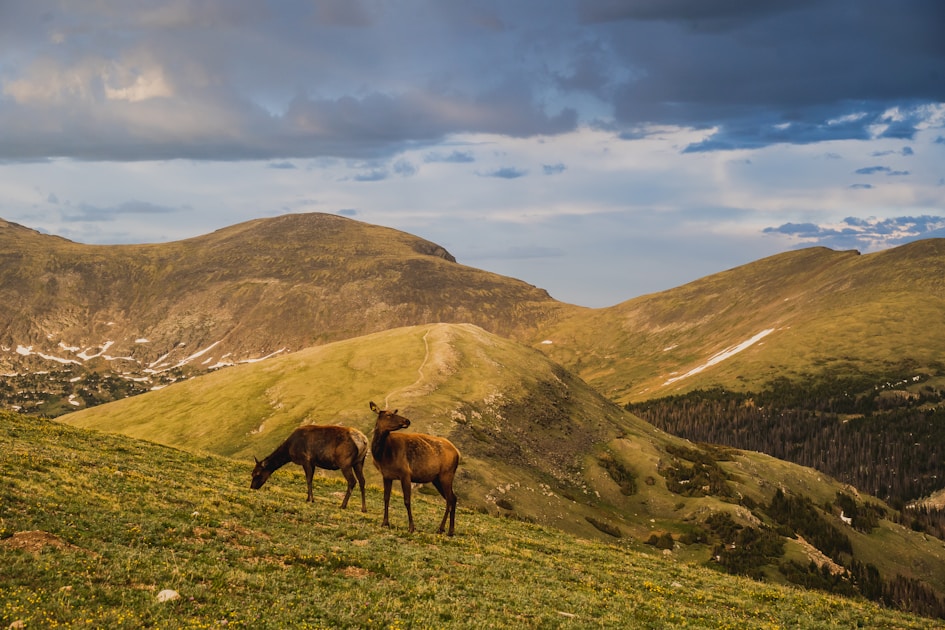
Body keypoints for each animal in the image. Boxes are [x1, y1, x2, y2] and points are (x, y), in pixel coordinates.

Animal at [369, 401, 460, 535]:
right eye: (389, 415)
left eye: (393, 412)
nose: (407, 421)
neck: (382, 455)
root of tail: (458, 453)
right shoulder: (386, 475)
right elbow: (386, 498)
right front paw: (385, 523)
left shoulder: (405, 473)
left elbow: (407, 500)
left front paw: (411, 527)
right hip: (437, 478)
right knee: (453, 498)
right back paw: (448, 530)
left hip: (447, 474)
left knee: (450, 499)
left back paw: (443, 529)